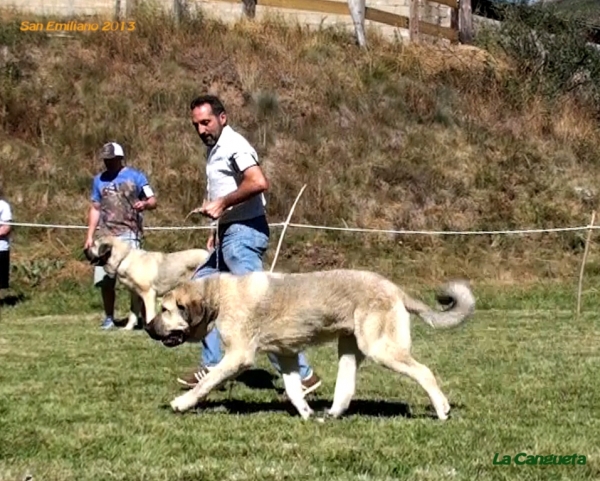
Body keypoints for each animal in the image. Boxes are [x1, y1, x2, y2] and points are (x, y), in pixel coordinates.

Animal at [143, 268, 476, 418]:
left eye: (165, 310)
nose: (146, 327)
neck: (217, 299)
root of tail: (394, 288)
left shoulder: (238, 356)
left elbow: (206, 383)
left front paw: (182, 402)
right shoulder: (287, 355)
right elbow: (293, 390)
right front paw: (305, 413)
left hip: (381, 349)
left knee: (424, 372)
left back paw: (442, 409)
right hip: (350, 350)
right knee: (346, 390)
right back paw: (330, 415)